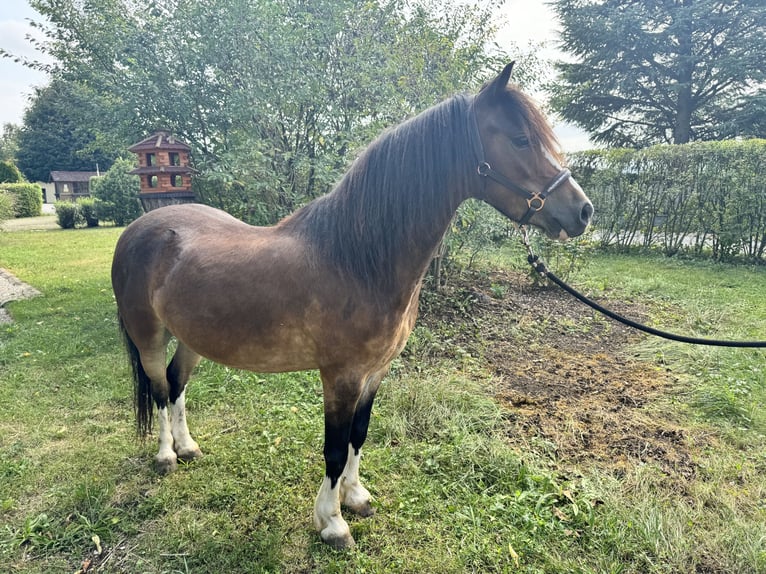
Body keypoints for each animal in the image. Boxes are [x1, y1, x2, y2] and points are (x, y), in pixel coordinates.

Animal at [112, 63, 592, 548]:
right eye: (520, 140)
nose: (583, 210)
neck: (357, 260)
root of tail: (138, 228)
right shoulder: (340, 376)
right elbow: (335, 447)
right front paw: (332, 522)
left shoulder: (375, 371)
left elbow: (358, 436)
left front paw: (356, 497)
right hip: (148, 334)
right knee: (158, 387)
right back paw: (167, 455)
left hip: (193, 338)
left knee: (177, 383)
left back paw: (188, 447)